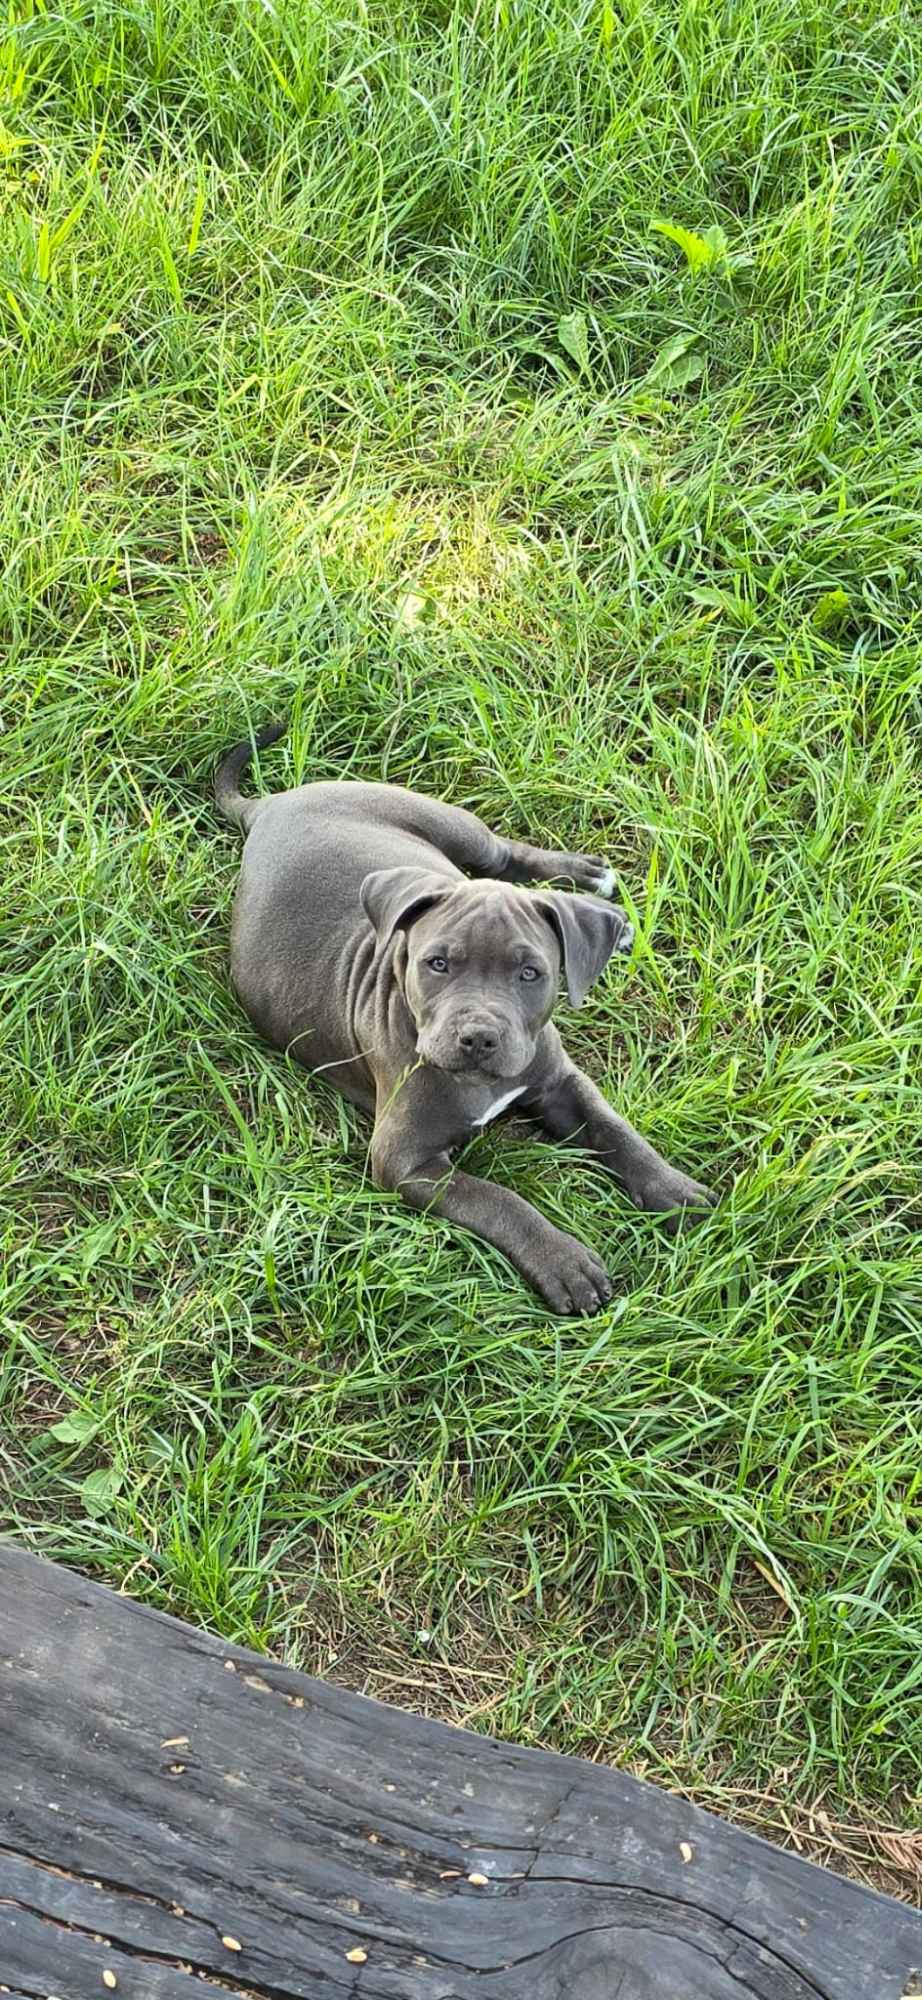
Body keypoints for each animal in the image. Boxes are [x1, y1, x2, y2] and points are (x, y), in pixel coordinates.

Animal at [217, 728, 712, 1320]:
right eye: (437, 963)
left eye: (530, 973)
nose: (478, 1037)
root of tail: (270, 807)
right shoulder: (404, 1163)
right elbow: (499, 1199)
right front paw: (565, 1263)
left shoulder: (559, 1083)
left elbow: (613, 1128)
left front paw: (673, 1188)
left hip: (454, 828)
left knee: (508, 858)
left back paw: (593, 888)